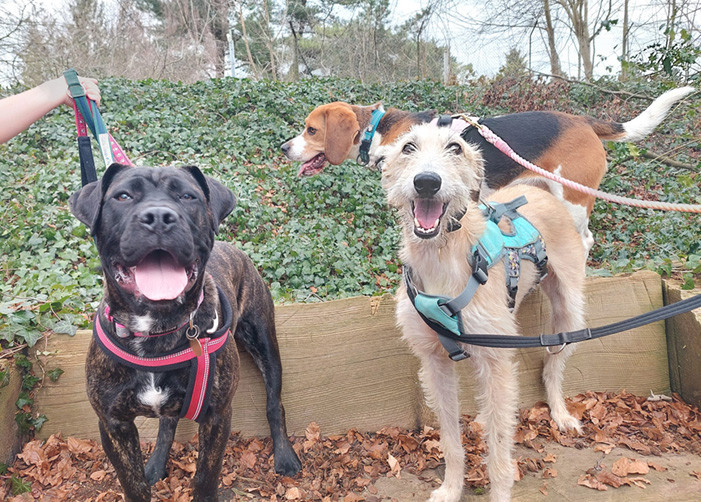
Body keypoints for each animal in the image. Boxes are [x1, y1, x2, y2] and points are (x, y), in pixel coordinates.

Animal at [69, 165, 302, 502]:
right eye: (123, 196)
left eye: (187, 196)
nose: (158, 216)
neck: (157, 329)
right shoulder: (114, 426)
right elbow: (133, 483)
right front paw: (145, 476)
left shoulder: (217, 416)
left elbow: (206, 476)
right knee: (167, 424)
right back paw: (155, 464)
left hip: (266, 346)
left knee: (274, 403)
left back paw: (284, 456)